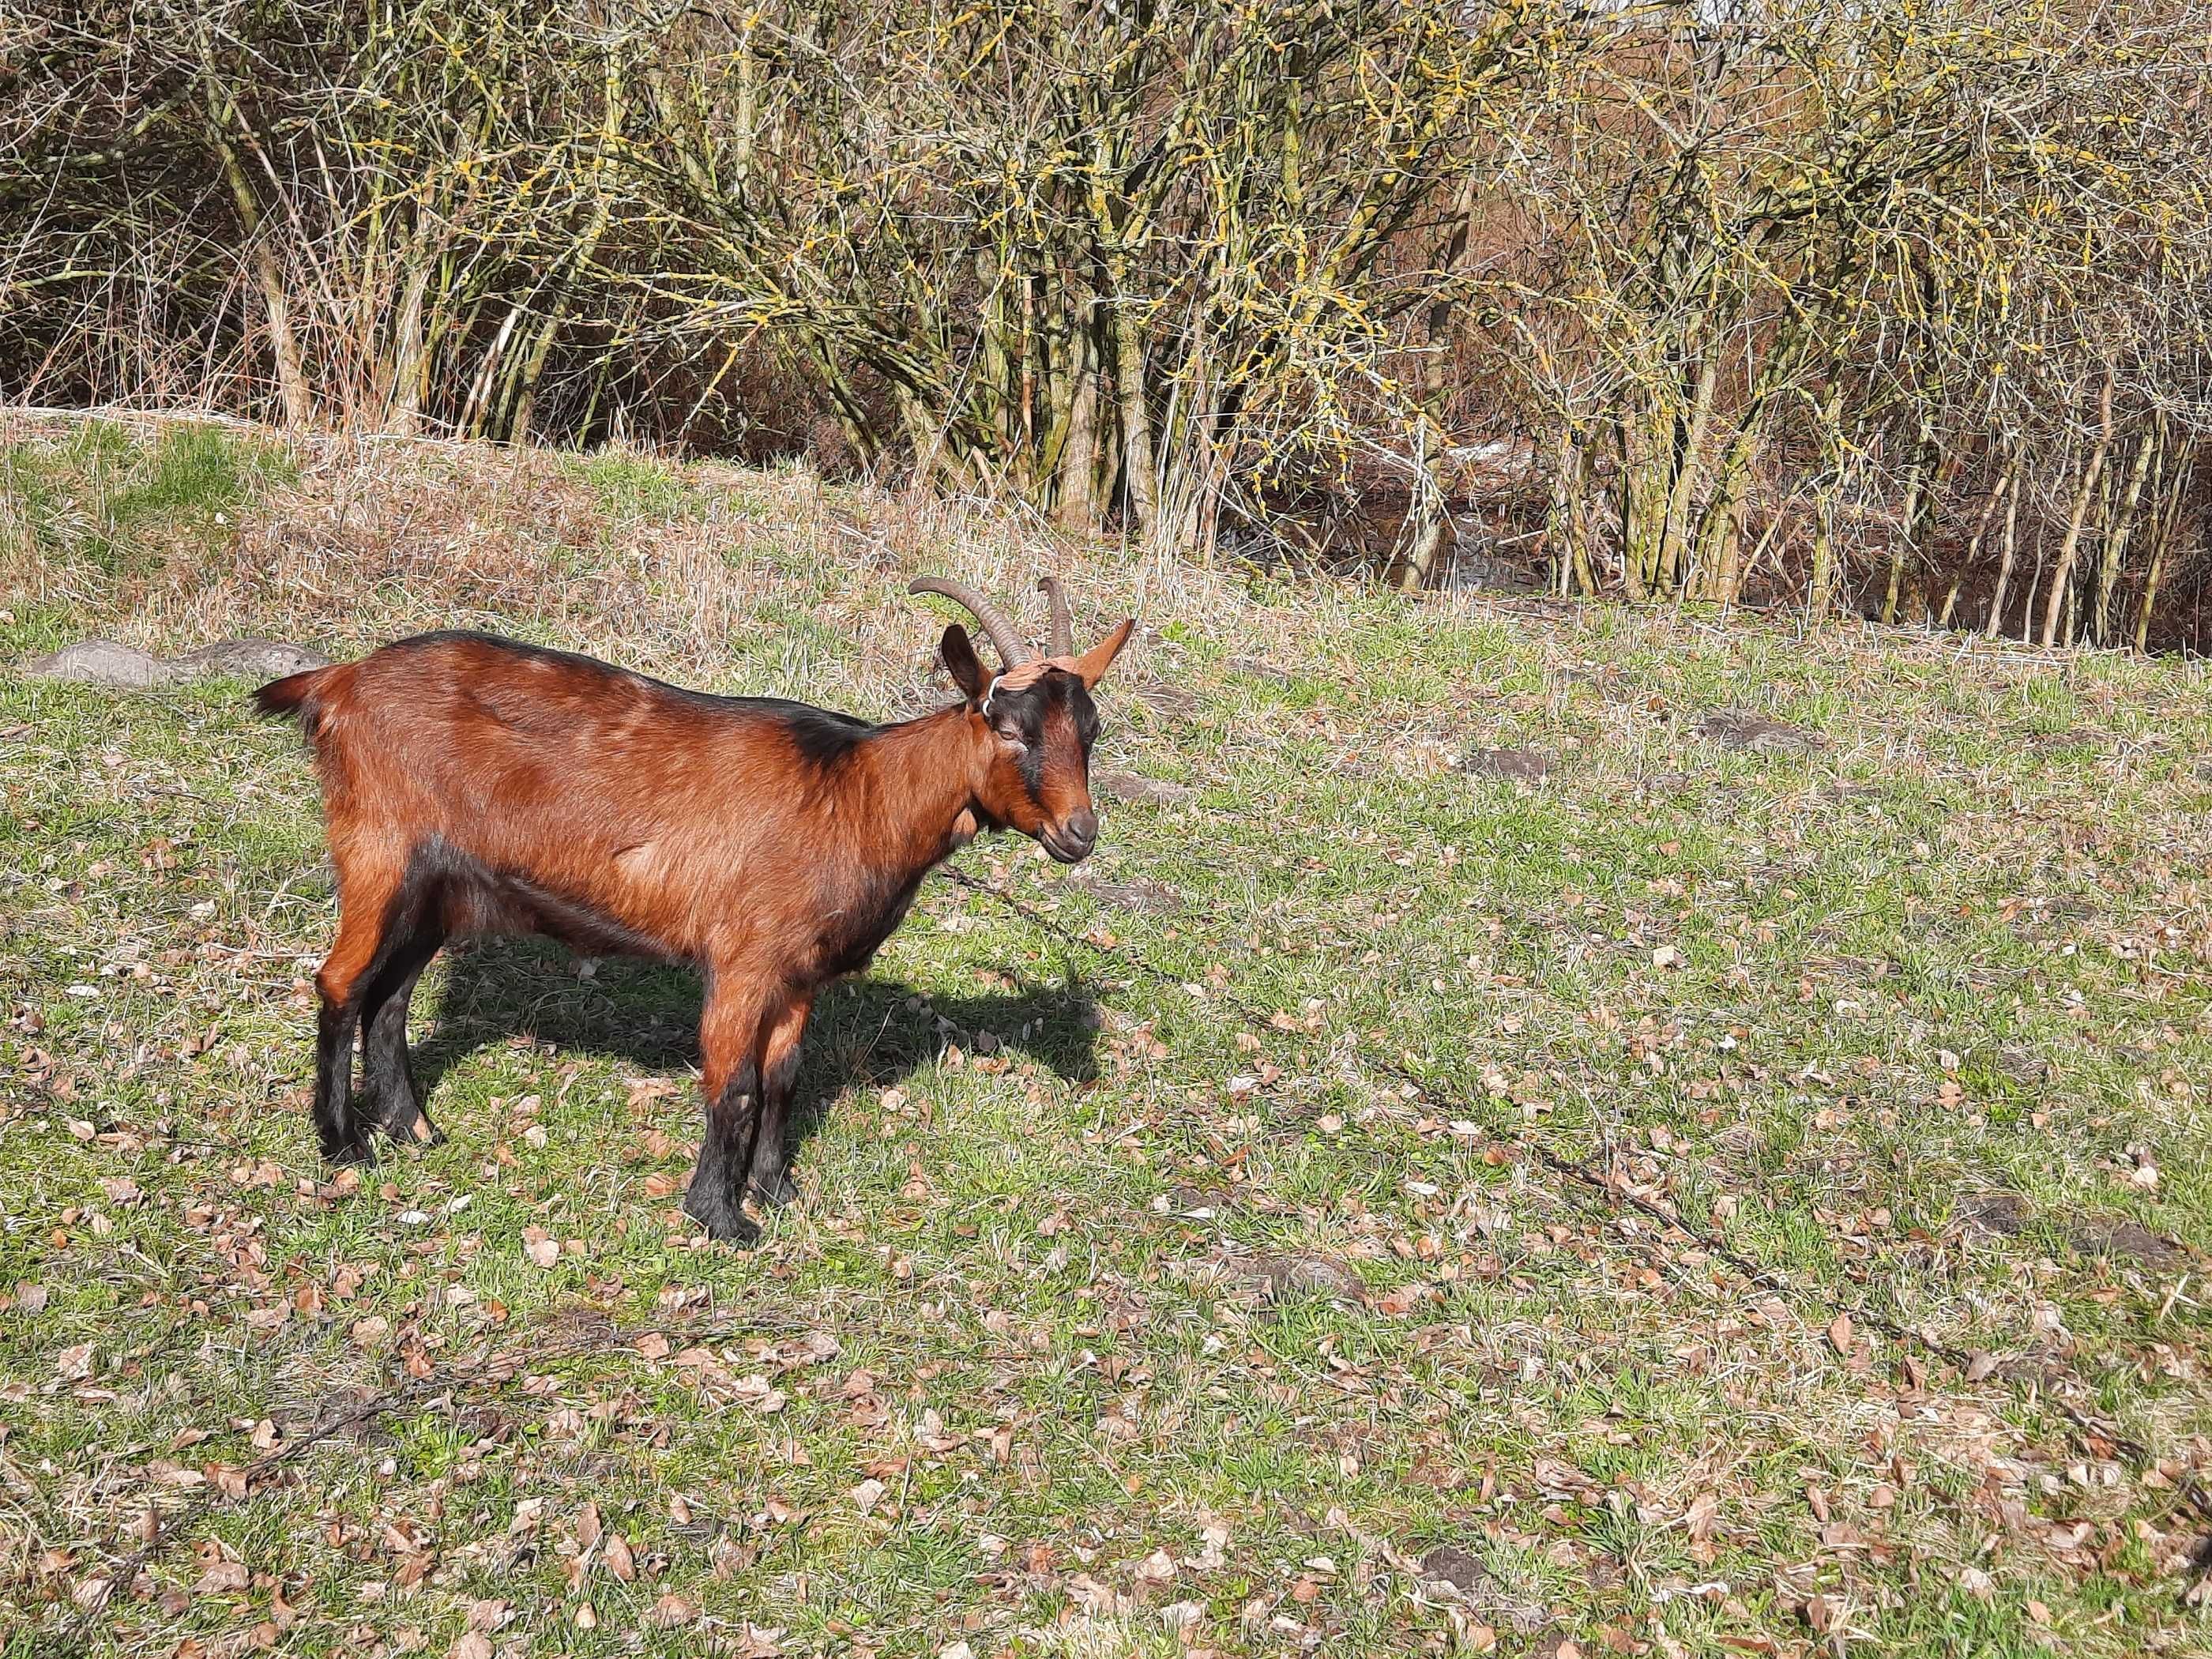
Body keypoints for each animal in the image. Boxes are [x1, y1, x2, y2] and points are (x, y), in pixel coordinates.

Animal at [250, 579, 1132, 1239]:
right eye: (1008, 728)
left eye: (1090, 729)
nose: (1078, 833)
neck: (858, 794)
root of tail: (337, 681)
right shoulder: (742, 960)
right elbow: (733, 1084)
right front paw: (720, 1216)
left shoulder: (799, 974)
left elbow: (783, 1077)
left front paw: (776, 1191)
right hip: (379, 850)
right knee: (340, 982)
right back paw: (344, 1147)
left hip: (442, 887)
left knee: (391, 996)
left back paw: (413, 1128)